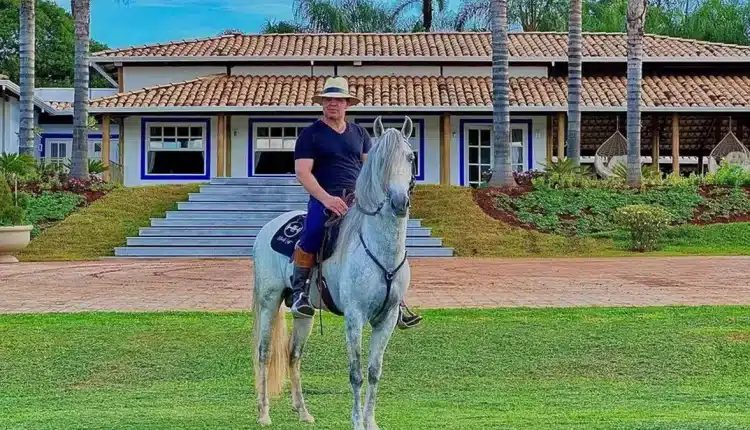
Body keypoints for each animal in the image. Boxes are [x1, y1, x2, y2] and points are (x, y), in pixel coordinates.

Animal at [253, 116, 418, 428]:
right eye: (380, 160)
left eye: (410, 156)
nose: (399, 202)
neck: (380, 249)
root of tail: (269, 227)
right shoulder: (355, 316)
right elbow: (356, 373)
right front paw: (356, 422)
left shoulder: (388, 318)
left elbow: (374, 371)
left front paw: (371, 421)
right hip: (269, 302)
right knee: (265, 353)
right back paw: (264, 413)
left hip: (302, 314)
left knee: (294, 355)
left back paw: (303, 412)